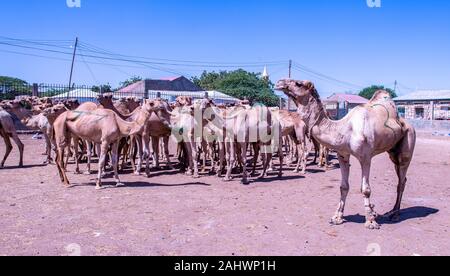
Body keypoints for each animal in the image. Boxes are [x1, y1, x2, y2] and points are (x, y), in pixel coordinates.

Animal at [276, 79, 416, 229]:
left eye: (298, 83)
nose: (279, 83)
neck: (344, 129)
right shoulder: (342, 155)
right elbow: (343, 186)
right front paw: (337, 217)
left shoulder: (365, 157)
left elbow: (365, 189)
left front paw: (370, 221)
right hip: (393, 152)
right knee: (401, 177)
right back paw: (391, 211)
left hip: (408, 143)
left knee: (401, 179)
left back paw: (395, 214)